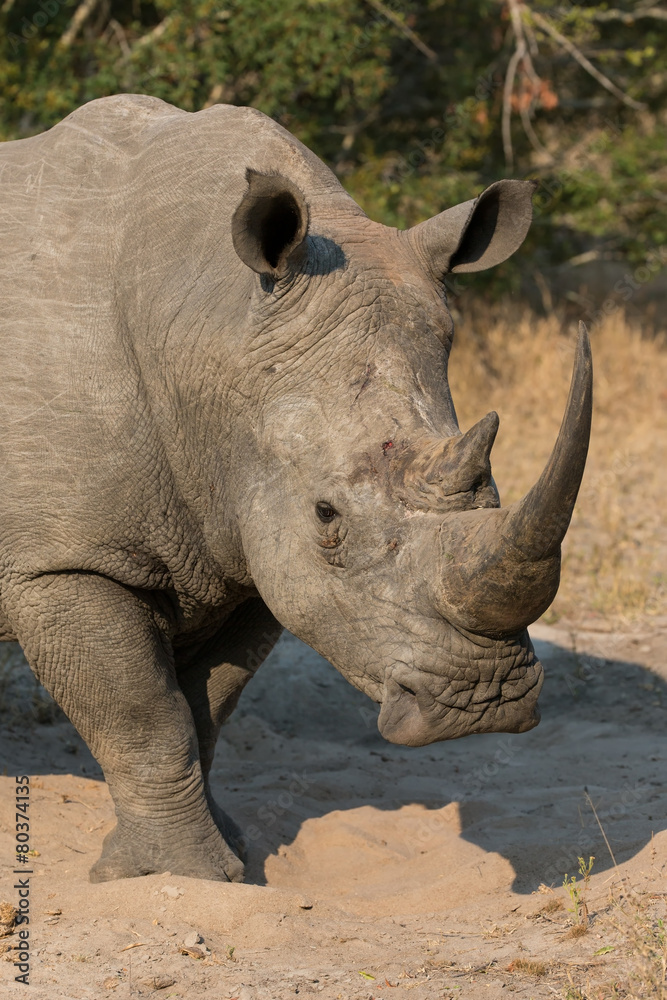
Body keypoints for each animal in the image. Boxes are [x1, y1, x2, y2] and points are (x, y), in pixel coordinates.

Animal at [0, 94, 591, 884]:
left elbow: (206, 707)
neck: (209, 322)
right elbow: (144, 717)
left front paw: (235, 863)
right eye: (327, 515)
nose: (484, 702)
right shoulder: (62, 560)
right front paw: (174, 877)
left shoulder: (242, 539)